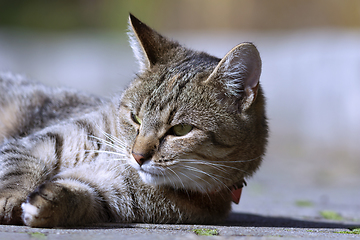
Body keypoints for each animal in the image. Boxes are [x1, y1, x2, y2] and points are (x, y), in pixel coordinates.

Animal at [0, 14, 268, 228]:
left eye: (181, 129)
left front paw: (52, 202)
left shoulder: (112, 194)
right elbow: (19, 168)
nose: (138, 156)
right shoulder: (40, 142)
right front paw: (9, 199)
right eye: (135, 117)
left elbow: (82, 196)